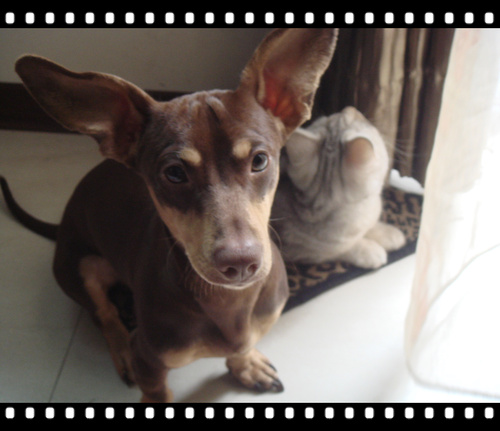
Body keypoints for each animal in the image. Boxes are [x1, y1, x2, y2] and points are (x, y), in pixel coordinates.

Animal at [1, 28, 337, 402]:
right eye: (174, 173)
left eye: (260, 160)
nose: (239, 263)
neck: (228, 301)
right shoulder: (151, 361)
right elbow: (156, 392)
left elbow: (243, 344)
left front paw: (246, 364)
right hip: (80, 267)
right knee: (104, 314)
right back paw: (121, 349)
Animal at [271, 106, 406, 269]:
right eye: (364, 120)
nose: (350, 107)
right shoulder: (301, 251)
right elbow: (344, 249)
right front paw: (370, 251)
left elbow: (372, 228)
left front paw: (389, 233)